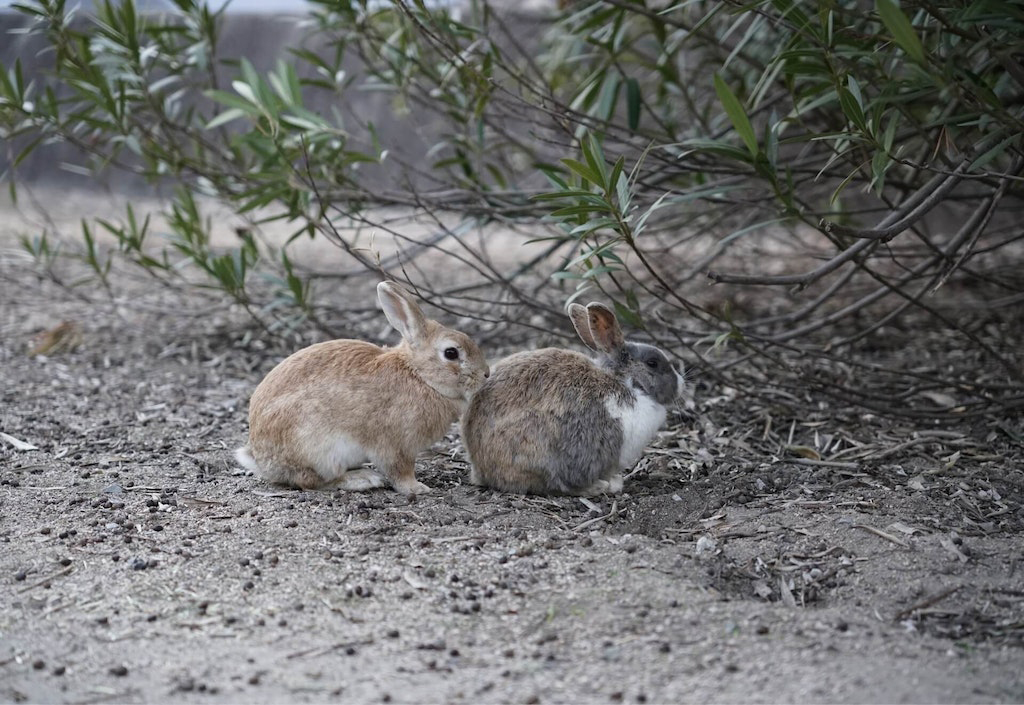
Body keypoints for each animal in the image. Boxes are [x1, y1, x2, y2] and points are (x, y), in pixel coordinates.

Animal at [234, 280, 487, 495]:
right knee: (310, 480)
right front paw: (418, 489)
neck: (419, 375)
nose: (485, 374)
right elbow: (400, 471)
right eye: (451, 353)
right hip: (318, 450)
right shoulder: (396, 445)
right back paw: (362, 479)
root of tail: (261, 459)